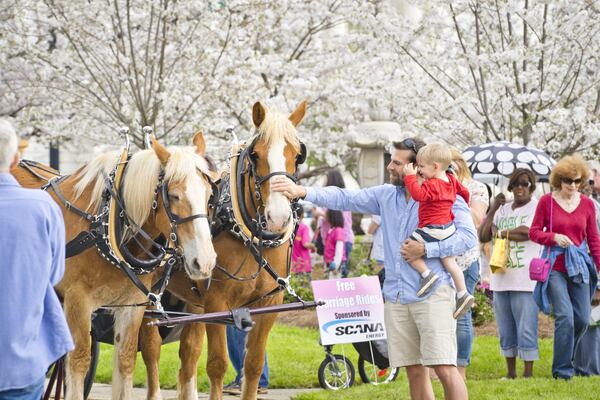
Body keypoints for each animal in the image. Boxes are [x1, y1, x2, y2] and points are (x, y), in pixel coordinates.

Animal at [11, 133, 218, 400]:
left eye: (209, 195)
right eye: (173, 196)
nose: (204, 261)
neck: (105, 225)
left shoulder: (132, 305)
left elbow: (126, 361)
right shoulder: (78, 301)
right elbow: (78, 361)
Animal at [142, 100, 310, 400]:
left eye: (297, 154)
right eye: (255, 154)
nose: (278, 218)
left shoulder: (269, 303)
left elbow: (253, 364)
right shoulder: (217, 303)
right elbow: (217, 365)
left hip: (193, 303)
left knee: (188, 357)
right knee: (150, 350)